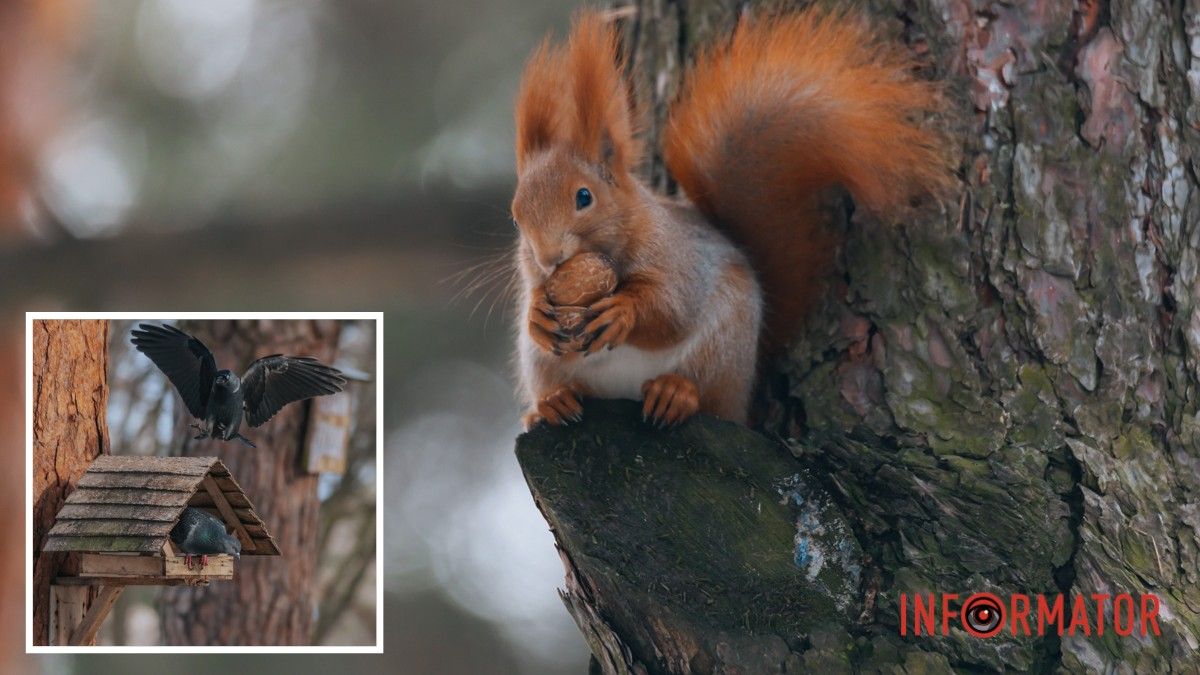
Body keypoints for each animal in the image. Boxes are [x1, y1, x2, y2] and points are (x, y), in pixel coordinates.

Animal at [511, 7, 950, 427]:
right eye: (516, 217)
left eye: (584, 197)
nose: (548, 258)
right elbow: (536, 304)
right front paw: (538, 315)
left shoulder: (679, 257)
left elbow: (672, 308)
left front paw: (623, 312)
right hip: (543, 364)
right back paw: (551, 404)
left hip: (723, 346)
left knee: (709, 399)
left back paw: (675, 394)